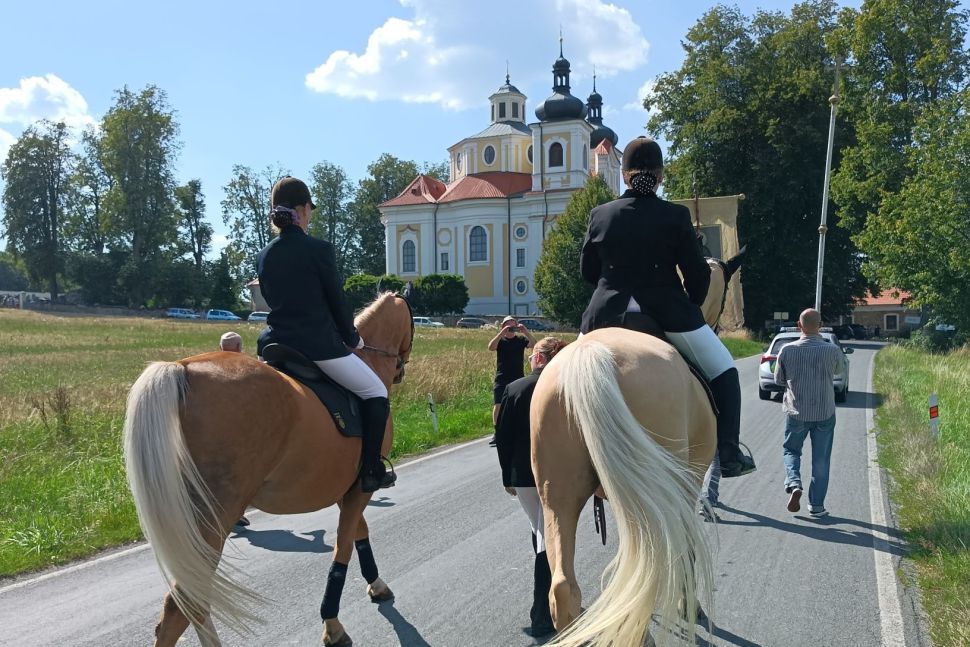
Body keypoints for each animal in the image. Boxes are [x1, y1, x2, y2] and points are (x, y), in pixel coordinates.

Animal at [123, 294, 410, 647]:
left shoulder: (345, 489)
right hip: (213, 518)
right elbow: (343, 547)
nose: (400, 370)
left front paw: (376, 584)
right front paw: (332, 625)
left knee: (192, 603)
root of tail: (184, 368)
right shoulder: (360, 488)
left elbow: (360, 532)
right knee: (181, 608)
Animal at [532, 254, 744, 647]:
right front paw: (690, 606)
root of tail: (592, 357)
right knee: (648, 571)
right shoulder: (685, 487)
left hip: (558, 495)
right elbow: (686, 546)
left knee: (565, 587)